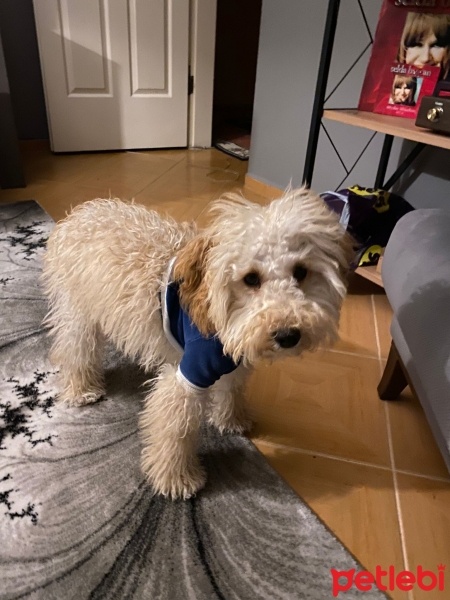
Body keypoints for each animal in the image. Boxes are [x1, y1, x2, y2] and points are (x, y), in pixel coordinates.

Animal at [43, 190, 352, 500]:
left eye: (301, 271)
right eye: (251, 278)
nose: (288, 335)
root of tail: (83, 212)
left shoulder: (231, 358)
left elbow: (232, 388)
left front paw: (232, 419)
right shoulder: (189, 374)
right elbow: (175, 429)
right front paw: (176, 478)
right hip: (79, 312)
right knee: (74, 350)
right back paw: (83, 389)